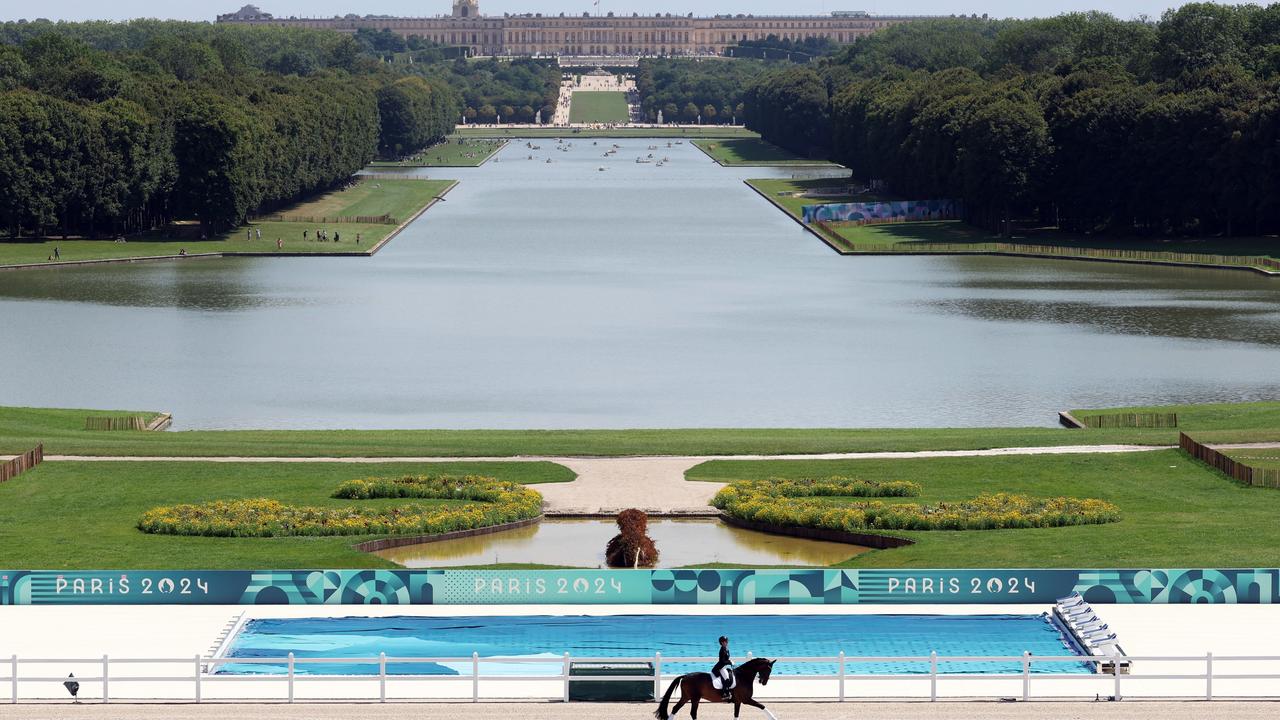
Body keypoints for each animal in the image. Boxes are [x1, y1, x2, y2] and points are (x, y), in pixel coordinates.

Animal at [650, 655, 778, 717]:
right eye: (768, 669)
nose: (764, 682)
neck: (743, 676)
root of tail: (685, 676)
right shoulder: (746, 700)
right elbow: (762, 706)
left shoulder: (738, 701)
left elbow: (736, 715)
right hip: (694, 698)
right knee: (692, 713)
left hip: (686, 697)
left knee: (675, 709)